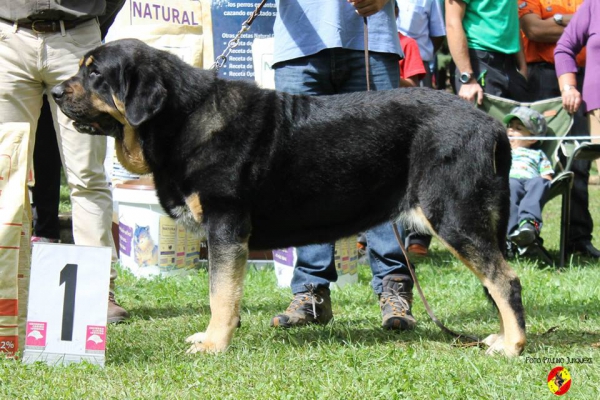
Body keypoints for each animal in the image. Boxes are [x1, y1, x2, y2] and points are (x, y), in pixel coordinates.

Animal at [54, 37, 528, 356]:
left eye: (95, 73)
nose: (56, 92)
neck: (181, 118)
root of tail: (490, 124)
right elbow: (222, 291)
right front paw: (213, 336)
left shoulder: (226, 225)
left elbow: (220, 293)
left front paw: (213, 344)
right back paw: (501, 337)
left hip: (454, 215)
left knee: (504, 280)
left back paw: (512, 346)